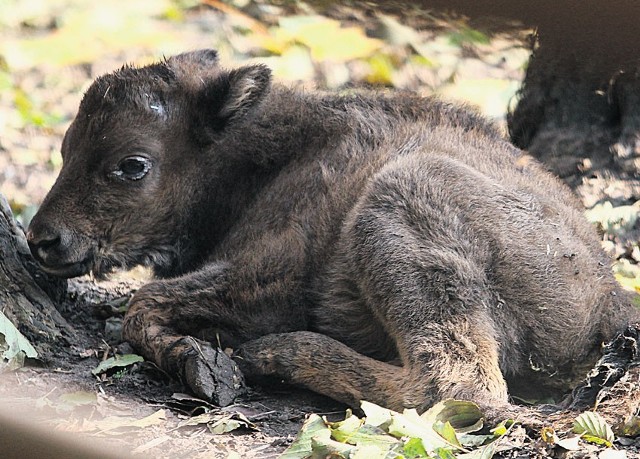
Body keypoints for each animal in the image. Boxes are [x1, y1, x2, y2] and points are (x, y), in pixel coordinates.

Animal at [27, 49, 636, 416]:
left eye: (131, 164)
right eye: (65, 147)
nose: (43, 239)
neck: (265, 157)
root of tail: (608, 298)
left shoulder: (265, 278)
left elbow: (144, 304)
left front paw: (204, 367)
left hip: (400, 202)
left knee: (460, 386)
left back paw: (274, 356)